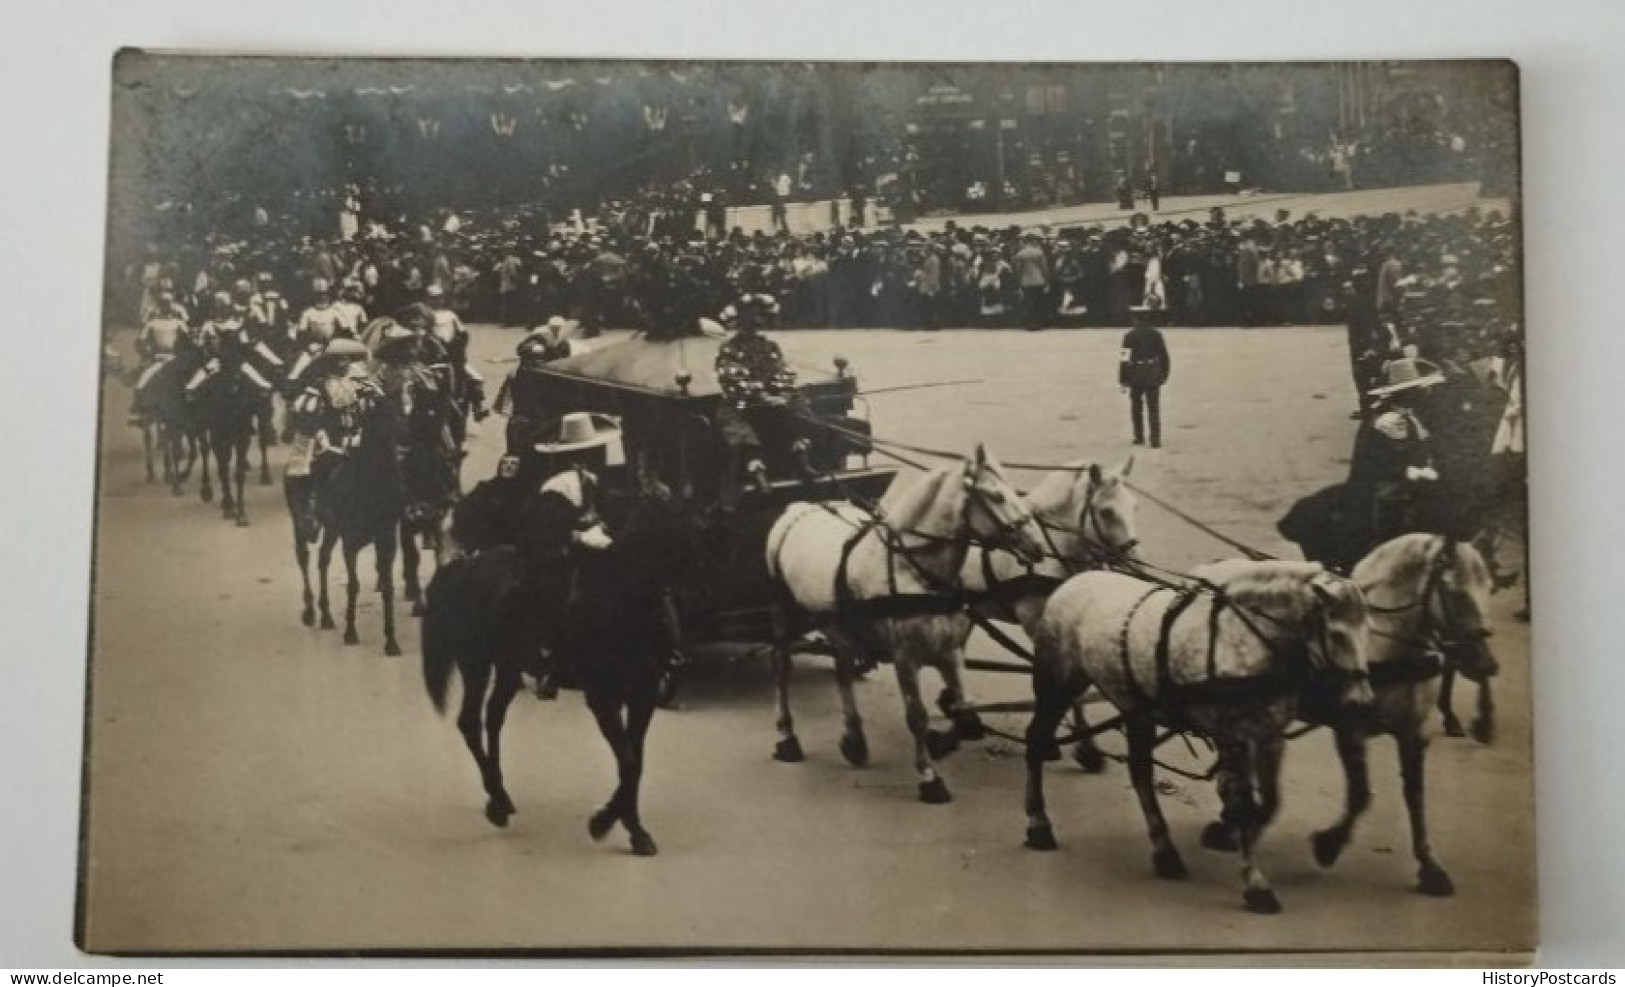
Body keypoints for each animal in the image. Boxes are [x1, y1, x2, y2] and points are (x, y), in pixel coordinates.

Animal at [419, 478, 692, 858]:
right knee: (470, 722)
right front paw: (603, 822)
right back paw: (496, 803)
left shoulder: (644, 695)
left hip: (508, 670)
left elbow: (634, 762)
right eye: (662, 527)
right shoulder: (602, 698)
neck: (622, 604)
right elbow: (628, 761)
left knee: (493, 717)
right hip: (476, 665)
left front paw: (634, 829)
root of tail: (464, 566)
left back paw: (501, 796)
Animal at [763, 445, 1046, 803]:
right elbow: (917, 717)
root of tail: (799, 507)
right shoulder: (905, 658)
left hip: (839, 626)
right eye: (996, 495)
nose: (1037, 545)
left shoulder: (949, 650)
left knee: (842, 670)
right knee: (781, 667)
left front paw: (943, 743)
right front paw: (930, 776)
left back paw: (854, 739)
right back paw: (786, 736)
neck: (914, 569)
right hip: (782, 612)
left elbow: (967, 714)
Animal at [1027, 559, 1371, 917]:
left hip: (1136, 708)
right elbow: (1244, 806)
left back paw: (1165, 852)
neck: (1242, 638)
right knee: (1035, 741)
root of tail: (1074, 580)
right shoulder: (1231, 736)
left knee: (1140, 773)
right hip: (1056, 683)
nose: (1361, 703)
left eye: (1368, 630)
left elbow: (1265, 801)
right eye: (1337, 633)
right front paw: (1256, 883)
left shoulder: (1267, 733)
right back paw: (1039, 825)